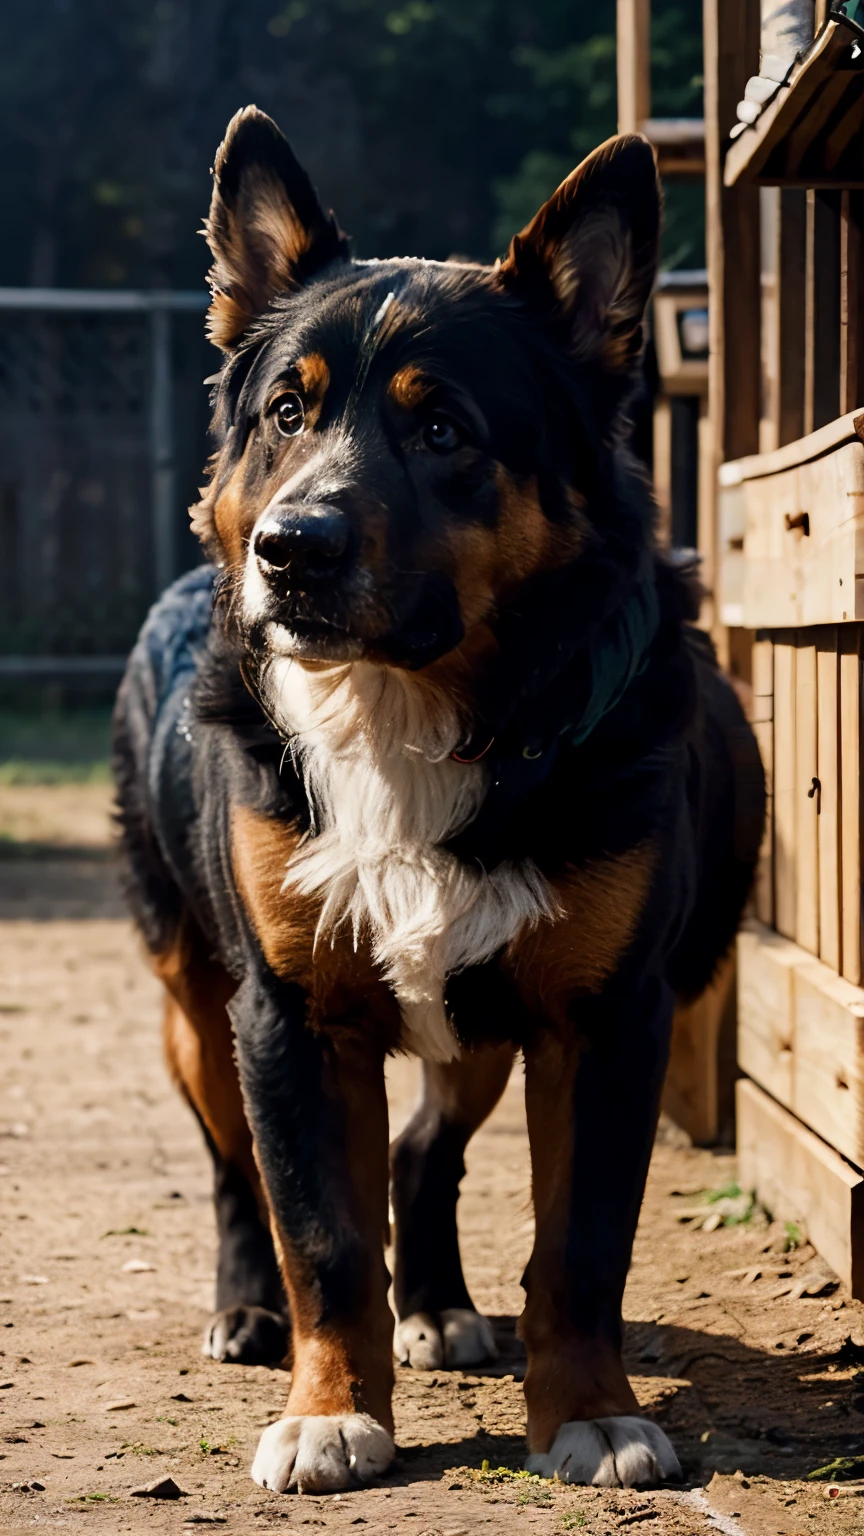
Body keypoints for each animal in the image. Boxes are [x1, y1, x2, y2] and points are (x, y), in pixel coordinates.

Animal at [112, 111, 759, 1499]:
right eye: (286, 411)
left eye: (445, 432)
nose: (289, 549)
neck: (405, 714)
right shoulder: (289, 1014)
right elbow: (321, 1233)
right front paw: (328, 1410)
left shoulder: (601, 1016)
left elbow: (581, 1245)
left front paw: (591, 1413)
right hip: (196, 994)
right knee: (235, 1170)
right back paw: (247, 1309)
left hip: (478, 1010)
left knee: (425, 1152)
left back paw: (445, 1307)